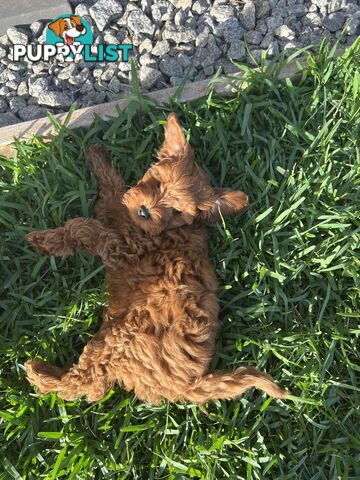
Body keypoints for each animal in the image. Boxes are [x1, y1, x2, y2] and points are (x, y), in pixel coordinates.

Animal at [24, 113, 286, 404]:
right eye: (158, 183)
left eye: (177, 211)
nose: (144, 211)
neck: (168, 229)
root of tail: (189, 385)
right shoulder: (119, 215)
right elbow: (113, 191)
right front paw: (98, 157)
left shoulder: (122, 247)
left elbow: (85, 229)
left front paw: (46, 240)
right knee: (96, 386)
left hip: (120, 338)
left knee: (87, 382)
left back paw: (40, 374)